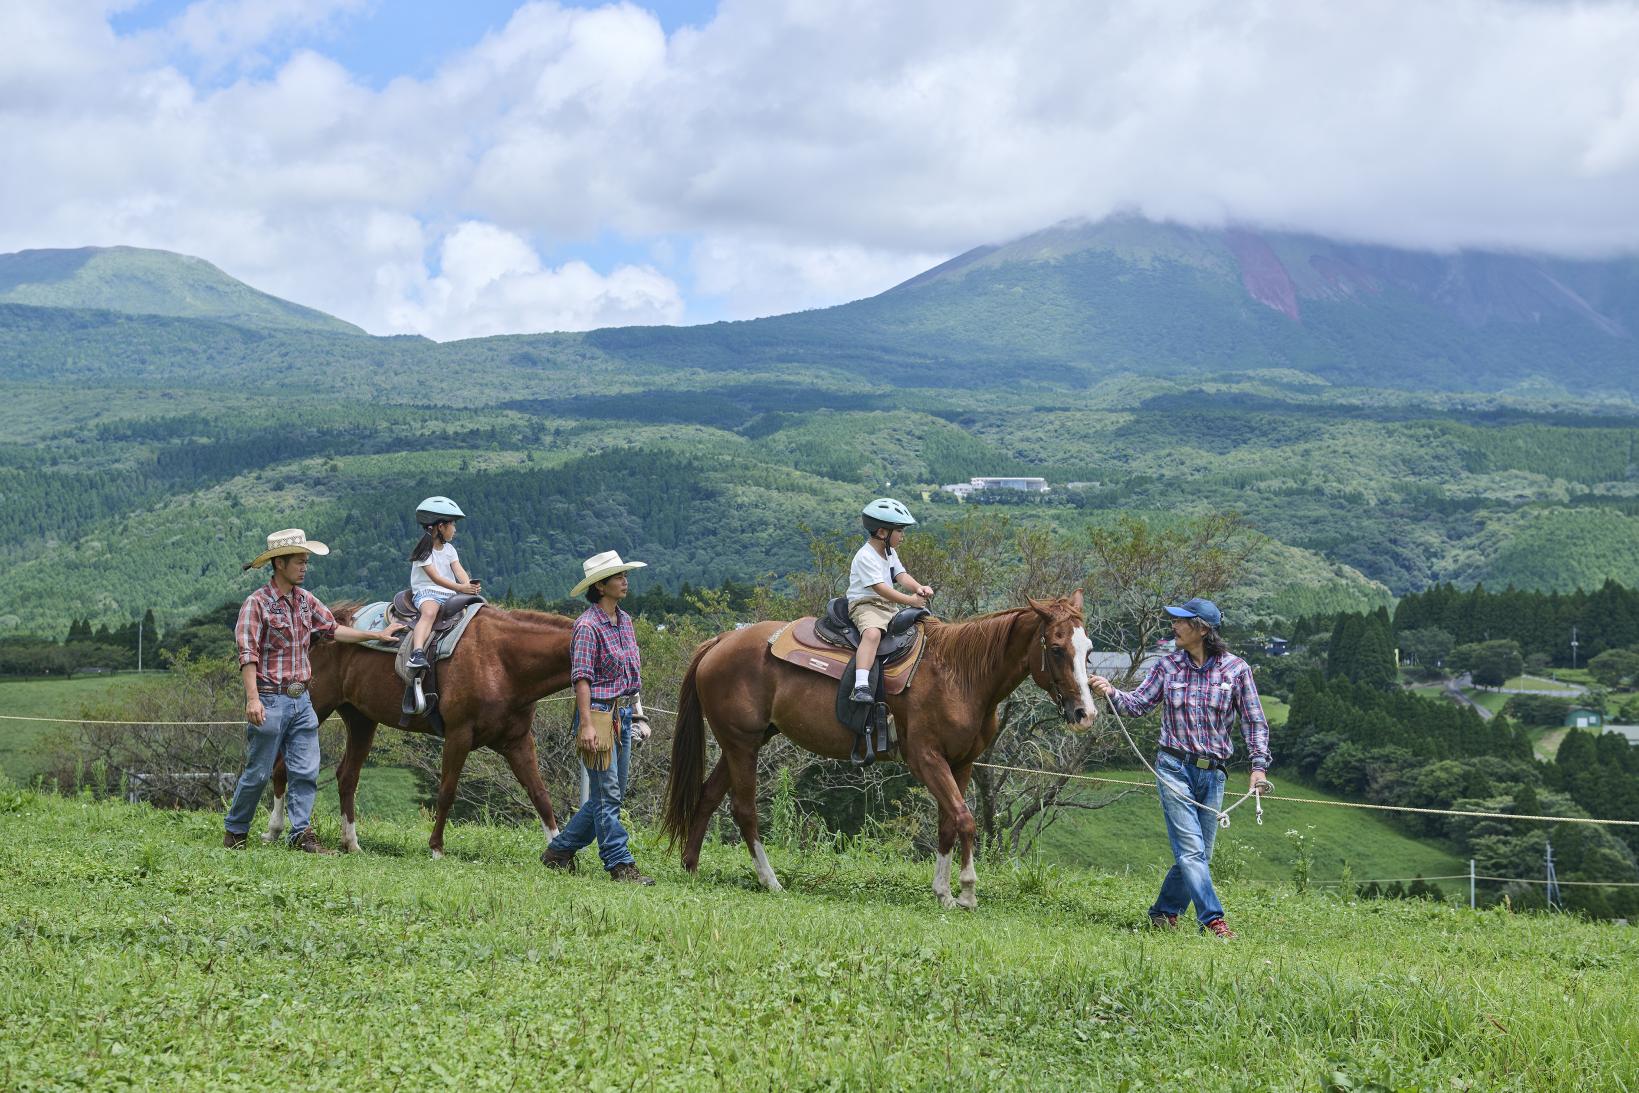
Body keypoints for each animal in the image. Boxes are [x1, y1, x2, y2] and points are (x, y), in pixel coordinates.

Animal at [267, 603, 576, 858]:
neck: (501, 661)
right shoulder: (458, 736)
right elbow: (447, 792)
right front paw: (437, 848)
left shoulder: (517, 742)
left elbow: (540, 795)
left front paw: (558, 851)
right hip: (317, 707)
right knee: (282, 768)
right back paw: (275, 830)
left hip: (361, 721)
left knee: (347, 777)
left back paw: (351, 843)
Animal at [658, 593, 1094, 911]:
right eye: (1057, 649)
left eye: (1088, 650)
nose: (1084, 713)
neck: (959, 673)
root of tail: (721, 641)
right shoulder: (926, 759)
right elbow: (965, 819)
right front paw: (967, 892)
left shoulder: (961, 763)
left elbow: (949, 823)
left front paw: (943, 892)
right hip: (742, 744)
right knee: (744, 810)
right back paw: (771, 880)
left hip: (743, 744)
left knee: (708, 796)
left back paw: (690, 866)